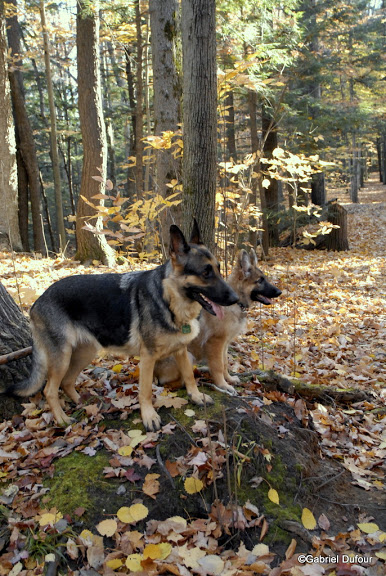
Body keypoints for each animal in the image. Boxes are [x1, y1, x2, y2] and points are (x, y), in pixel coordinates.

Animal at [5, 223, 238, 430]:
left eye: (218, 269)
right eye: (206, 272)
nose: (236, 299)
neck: (169, 298)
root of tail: (38, 301)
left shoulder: (181, 351)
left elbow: (189, 376)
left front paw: (196, 396)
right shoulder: (148, 357)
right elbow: (145, 390)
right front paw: (149, 416)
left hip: (84, 353)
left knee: (68, 382)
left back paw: (82, 403)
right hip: (62, 357)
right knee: (49, 390)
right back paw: (61, 419)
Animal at [155, 251, 282, 396]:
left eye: (264, 279)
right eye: (260, 280)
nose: (280, 292)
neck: (235, 304)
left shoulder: (224, 344)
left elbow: (225, 363)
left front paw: (229, 379)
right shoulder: (215, 342)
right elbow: (218, 366)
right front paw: (222, 385)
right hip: (187, 356)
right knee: (168, 382)